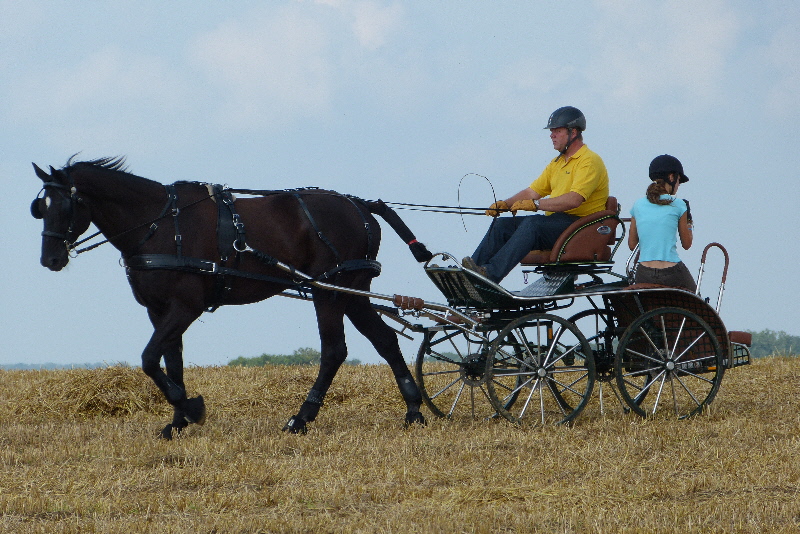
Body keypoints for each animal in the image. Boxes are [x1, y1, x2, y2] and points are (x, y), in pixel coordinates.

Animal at [31, 156, 432, 440]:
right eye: (40, 207)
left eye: (64, 205)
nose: (50, 259)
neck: (160, 225)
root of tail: (359, 205)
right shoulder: (158, 310)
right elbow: (171, 363)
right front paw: (177, 422)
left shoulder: (186, 306)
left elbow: (148, 359)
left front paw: (192, 409)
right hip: (352, 292)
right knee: (385, 340)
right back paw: (414, 410)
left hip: (327, 292)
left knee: (334, 351)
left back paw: (301, 419)